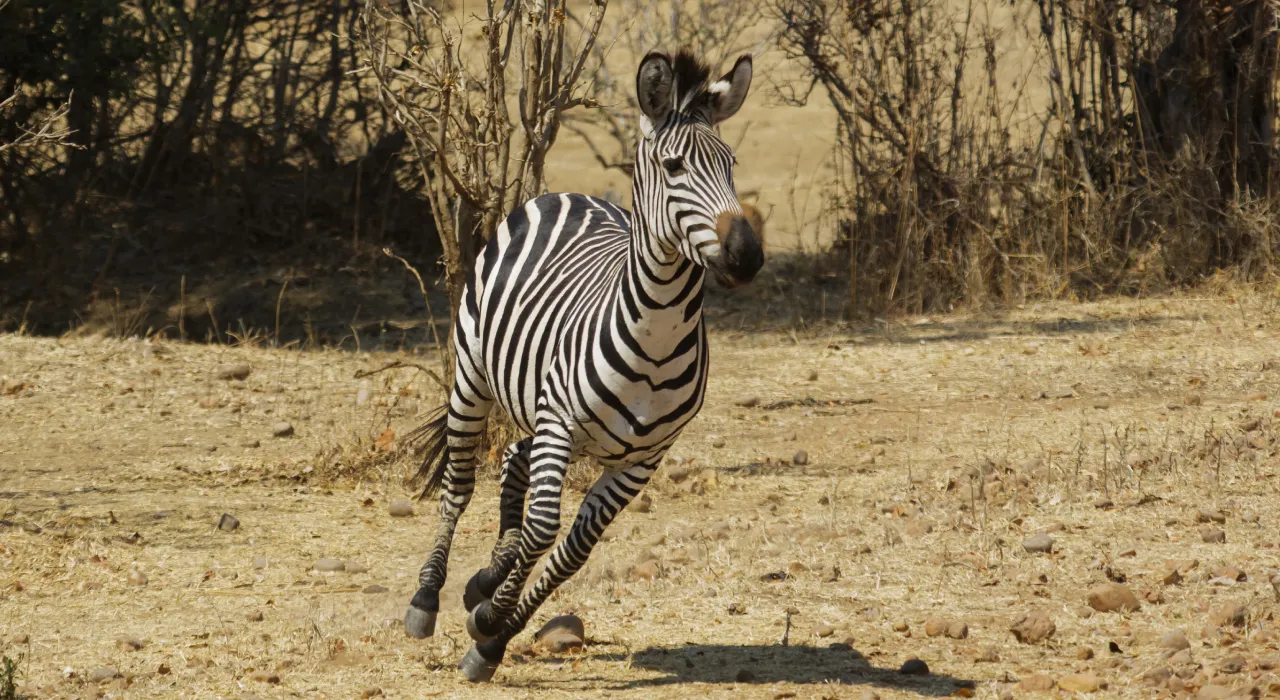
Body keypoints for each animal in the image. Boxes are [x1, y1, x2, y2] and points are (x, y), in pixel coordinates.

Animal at [401, 50, 757, 685]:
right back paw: (428, 596)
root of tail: (566, 194)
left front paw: (493, 631)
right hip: (474, 378)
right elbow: (544, 530)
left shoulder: (643, 460)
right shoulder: (561, 421)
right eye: (673, 166)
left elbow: (572, 552)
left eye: (731, 165)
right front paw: (490, 617)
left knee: (513, 458)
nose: (748, 255)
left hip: (546, 415)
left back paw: (486, 578)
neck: (658, 337)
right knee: (460, 484)